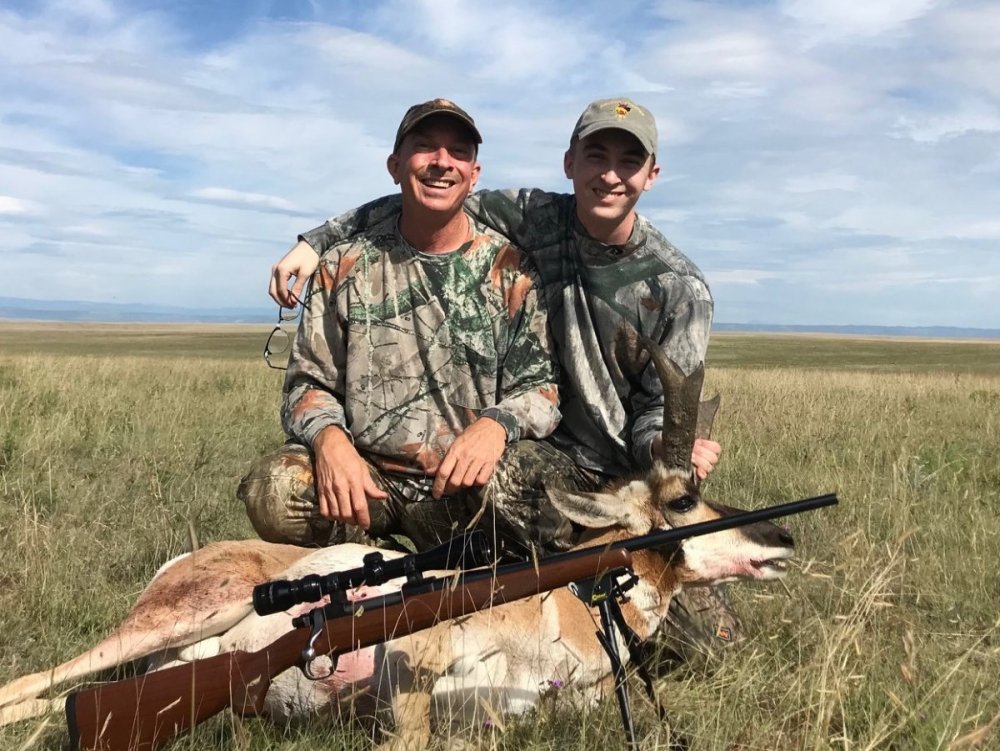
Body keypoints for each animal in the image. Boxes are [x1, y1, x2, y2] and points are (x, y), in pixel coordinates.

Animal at [0, 350, 796, 748]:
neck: (563, 606)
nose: (783, 535)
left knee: (64, 696)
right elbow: (407, 735)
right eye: (683, 499)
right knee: (35, 682)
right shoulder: (416, 656)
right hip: (182, 614)